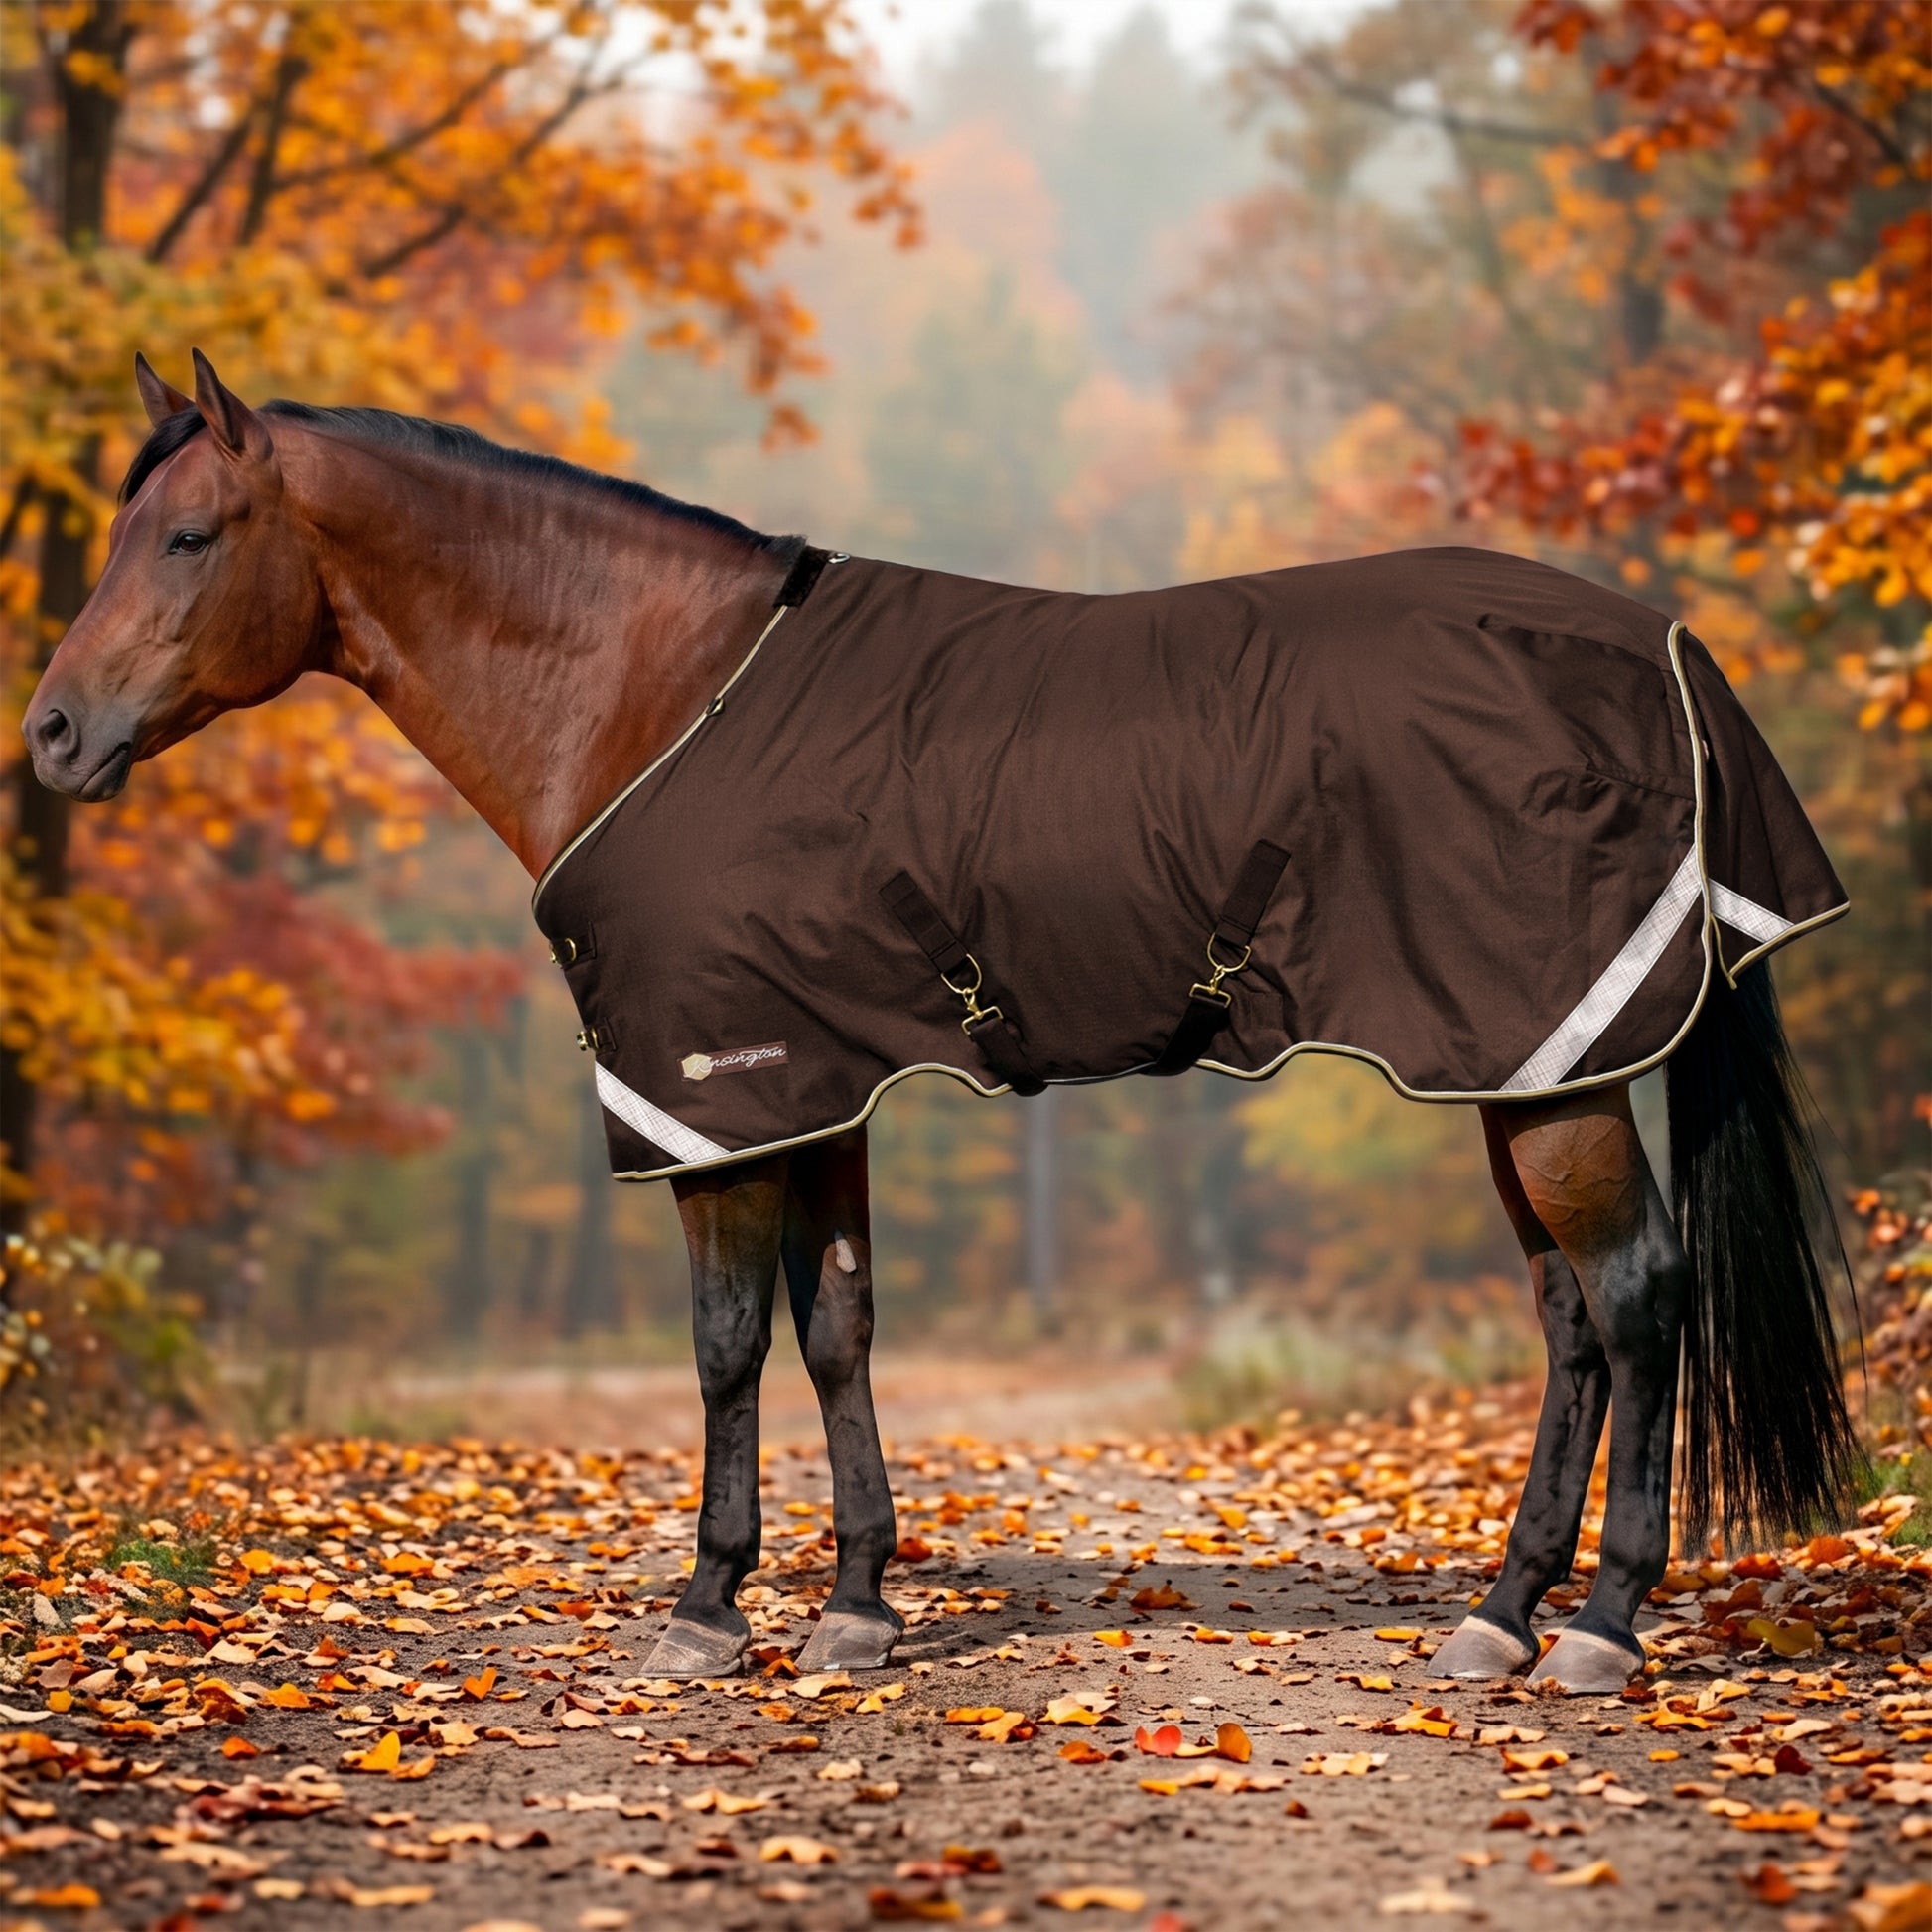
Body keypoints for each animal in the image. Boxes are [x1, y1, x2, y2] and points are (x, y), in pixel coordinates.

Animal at [21, 353, 1859, 1695]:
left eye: (187, 536)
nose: (48, 734)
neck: (655, 691)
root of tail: (1662, 647)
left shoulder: (711, 1089)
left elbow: (724, 1344)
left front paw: (707, 1604)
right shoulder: (809, 1082)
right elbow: (835, 1328)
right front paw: (851, 1601)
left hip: (1546, 1064)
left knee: (1637, 1298)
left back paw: (1599, 1627)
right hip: (1517, 1061)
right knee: (1570, 1321)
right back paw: (1501, 1612)